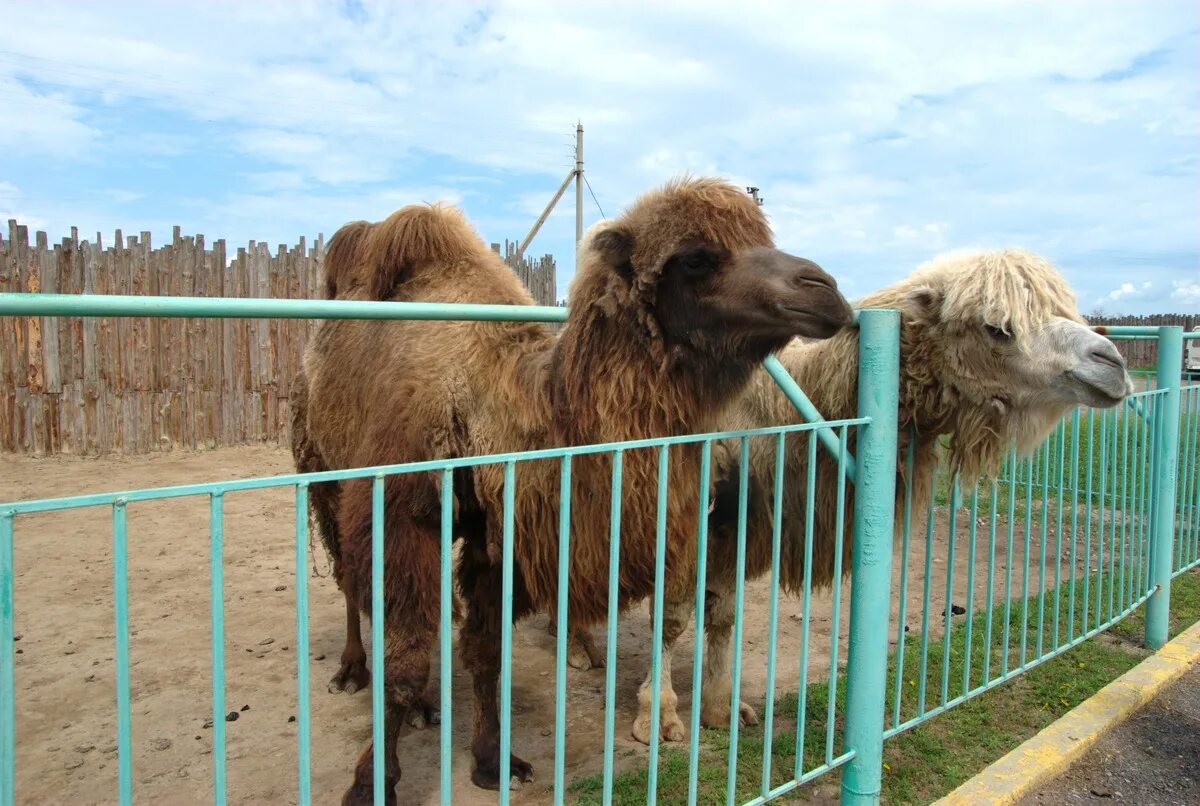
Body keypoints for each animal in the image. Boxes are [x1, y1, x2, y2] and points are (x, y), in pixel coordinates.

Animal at [302, 179, 854, 801]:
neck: (489, 404)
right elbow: (403, 663)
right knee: (351, 582)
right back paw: (353, 672)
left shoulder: (501, 532)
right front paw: (371, 784)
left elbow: (487, 652)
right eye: (695, 258)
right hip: (321, 470)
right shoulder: (400, 511)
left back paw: (426, 706)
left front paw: (494, 762)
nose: (825, 289)